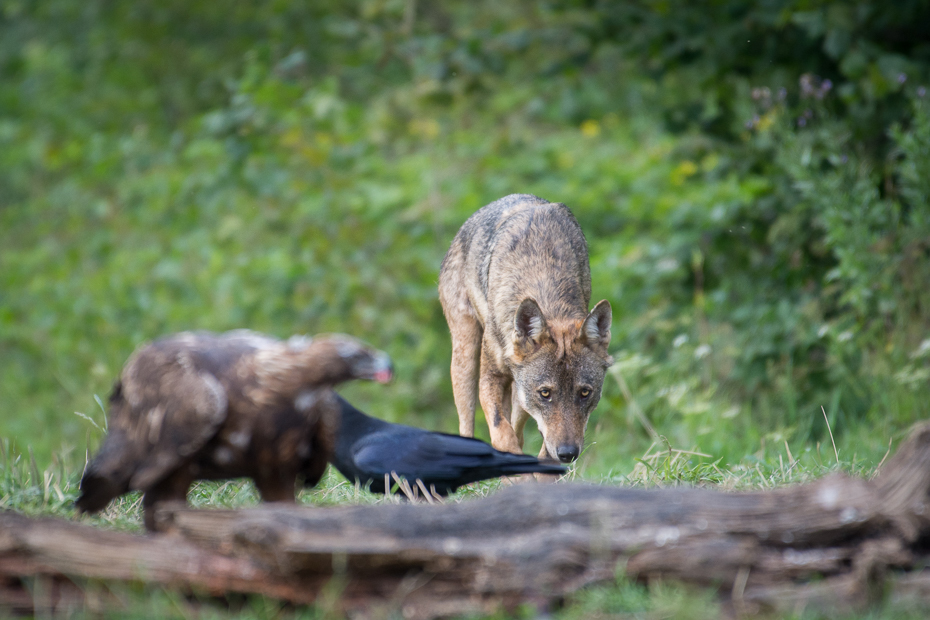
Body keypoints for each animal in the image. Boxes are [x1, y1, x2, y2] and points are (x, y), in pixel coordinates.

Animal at [438, 196, 612, 462]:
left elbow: (534, 447)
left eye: (584, 392)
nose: (568, 453)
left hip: (519, 396)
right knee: (467, 427)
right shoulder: (490, 377)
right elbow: (502, 433)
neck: (543, 283)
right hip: (465, 359)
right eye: (545, 393)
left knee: (518, 429)